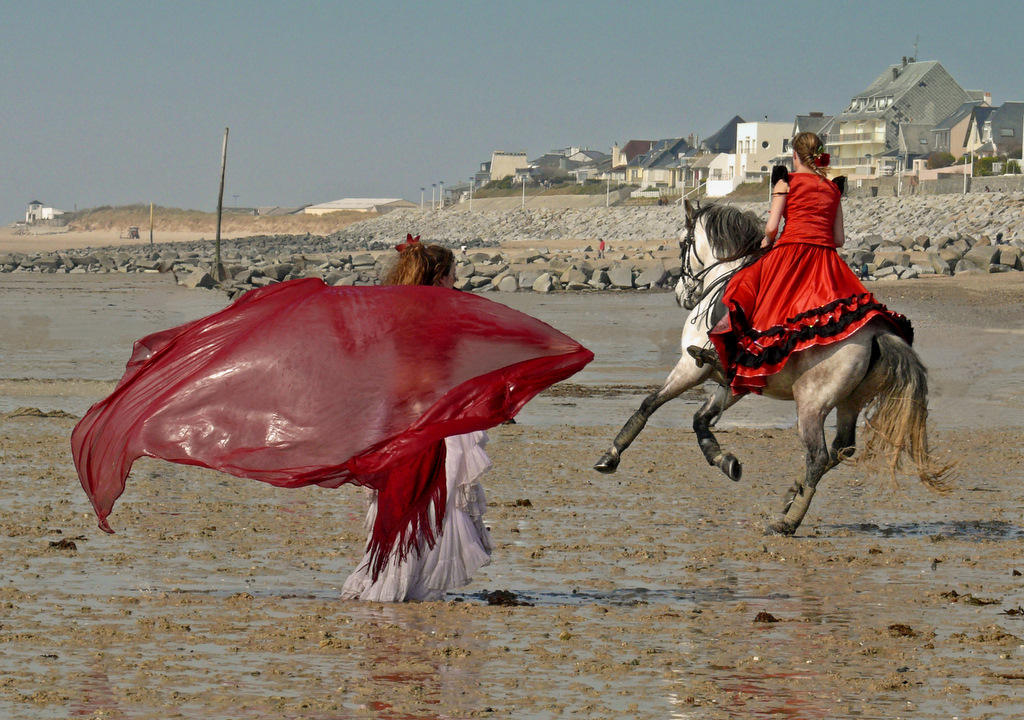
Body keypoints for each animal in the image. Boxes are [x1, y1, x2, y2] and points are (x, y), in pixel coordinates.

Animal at [593, 198, 950, 536]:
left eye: (682, 243)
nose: (681, 295)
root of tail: (877, 334)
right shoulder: (734, 381)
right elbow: (700, 420)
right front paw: (724, 461)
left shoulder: (692, 367)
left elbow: (649, 403)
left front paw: (611, 455)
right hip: (850, 401)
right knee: (841, 449)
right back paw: (793, 494)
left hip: (812, 405)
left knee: (819, 456)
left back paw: (787, 521)